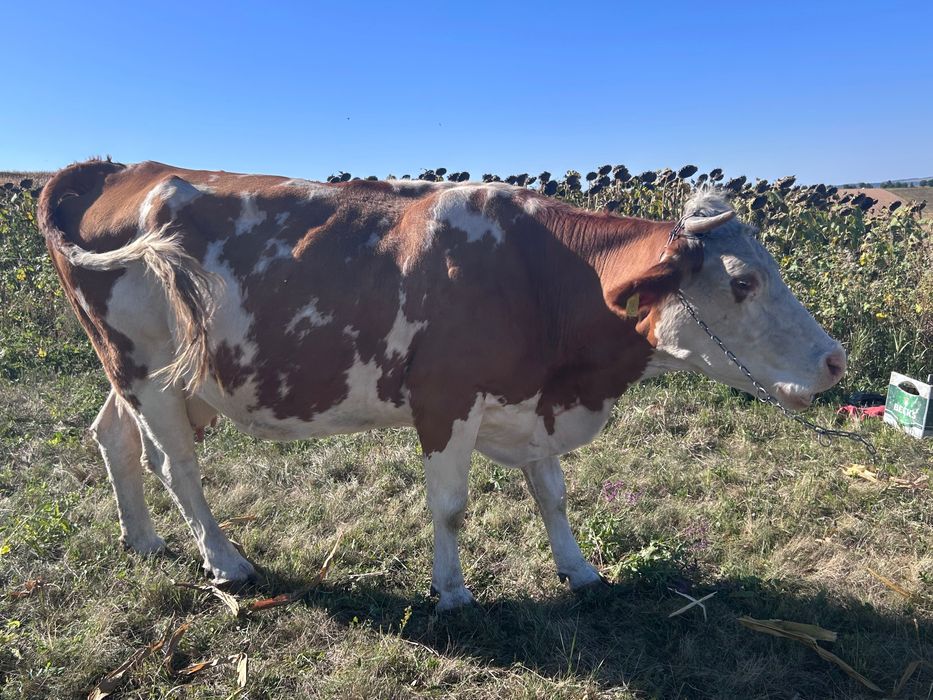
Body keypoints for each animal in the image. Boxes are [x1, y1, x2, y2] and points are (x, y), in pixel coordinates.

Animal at [38, 159, 846, 611]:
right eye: (740, 282)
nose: (835, 362)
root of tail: (116, 167)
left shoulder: (527, 402)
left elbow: (552, 494)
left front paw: (578, 569)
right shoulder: (445, 399)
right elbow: (451, 507)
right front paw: (452, 591)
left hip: (150, 374)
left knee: (112, 439)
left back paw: (142, 540)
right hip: (146, 371)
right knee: (174, 464)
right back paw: (226, 562)